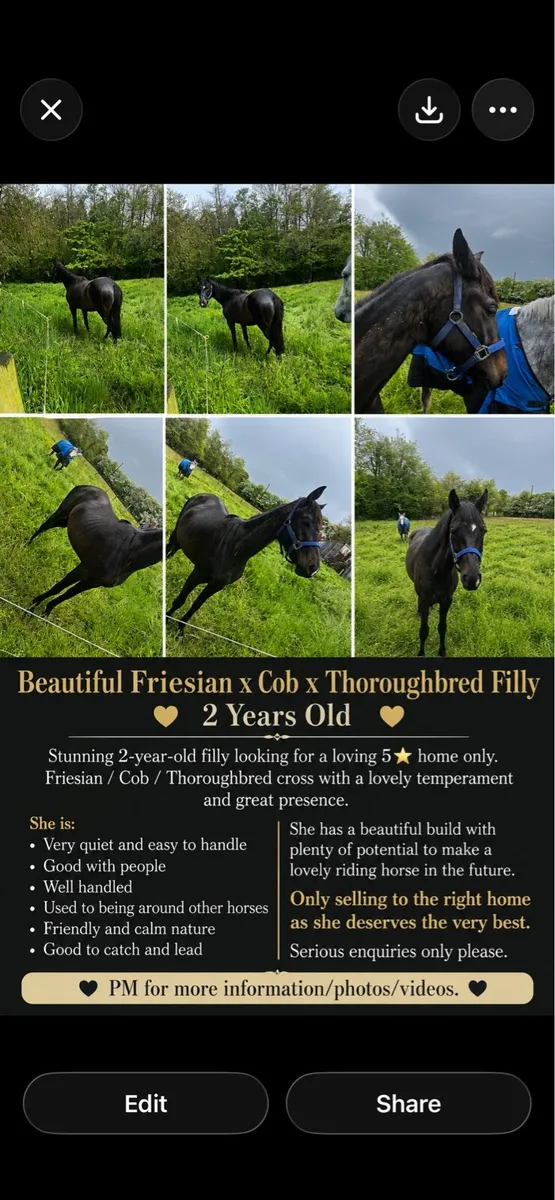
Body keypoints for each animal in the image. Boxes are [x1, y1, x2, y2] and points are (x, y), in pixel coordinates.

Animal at [27, 486, 162, 616]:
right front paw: (33, 606)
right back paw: (26, 545)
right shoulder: (84, 569)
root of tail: (88, 487)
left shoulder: (93, 582)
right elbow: (58, 588)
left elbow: (67, 595)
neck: (130, 552)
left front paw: (46, 612)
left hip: (65, 521)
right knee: (44, 526)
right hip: (61, 513)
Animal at [166, 487, 327, 636]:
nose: (313, 568)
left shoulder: (216, 585)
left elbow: (195, 606)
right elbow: (180, 600)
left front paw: (180, 629)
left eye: (320, 529)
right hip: (175, 537)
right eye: (306, 521)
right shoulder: (196, 575)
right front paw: (167, 618)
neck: (235, 548)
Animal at [405, 489, 488, 657]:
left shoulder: (446, 601)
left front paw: (442, 651)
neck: (437, 571)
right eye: (453, 531)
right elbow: (424, 630)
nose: (472, 579)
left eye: (483, 530)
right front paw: (421, 653)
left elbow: (442, 627)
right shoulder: (424, 600)